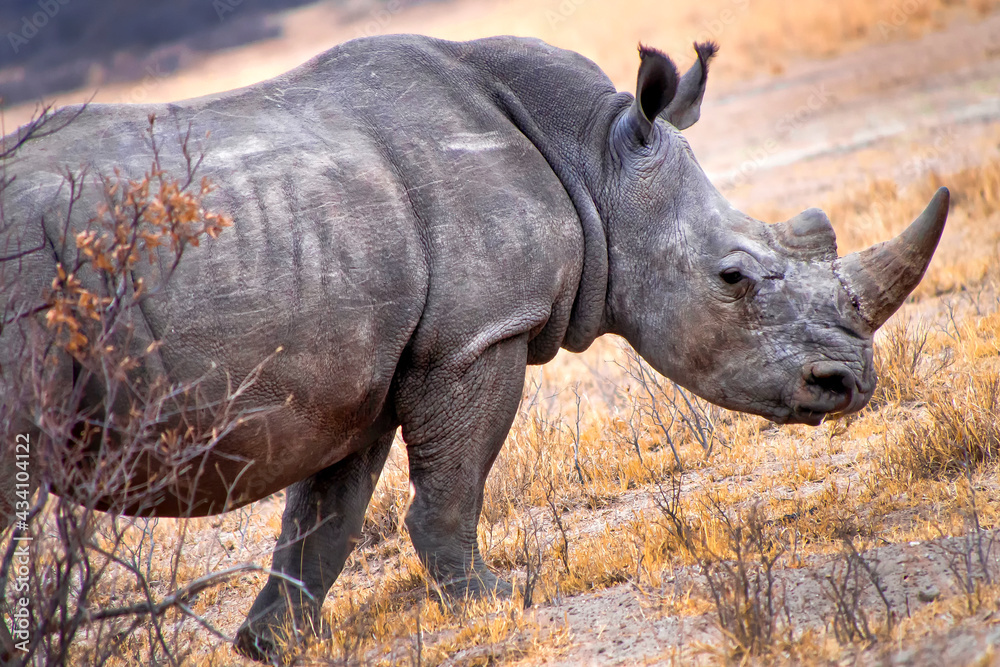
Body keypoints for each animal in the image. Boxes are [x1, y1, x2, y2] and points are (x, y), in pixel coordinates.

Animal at [0, 34, 947, 660]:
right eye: (735, 278)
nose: (848, 384)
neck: (594, 158)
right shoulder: (477, 334)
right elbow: (451, 488)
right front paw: (496, 603)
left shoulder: (357, 366)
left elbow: (324, 522)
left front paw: (273, 643)